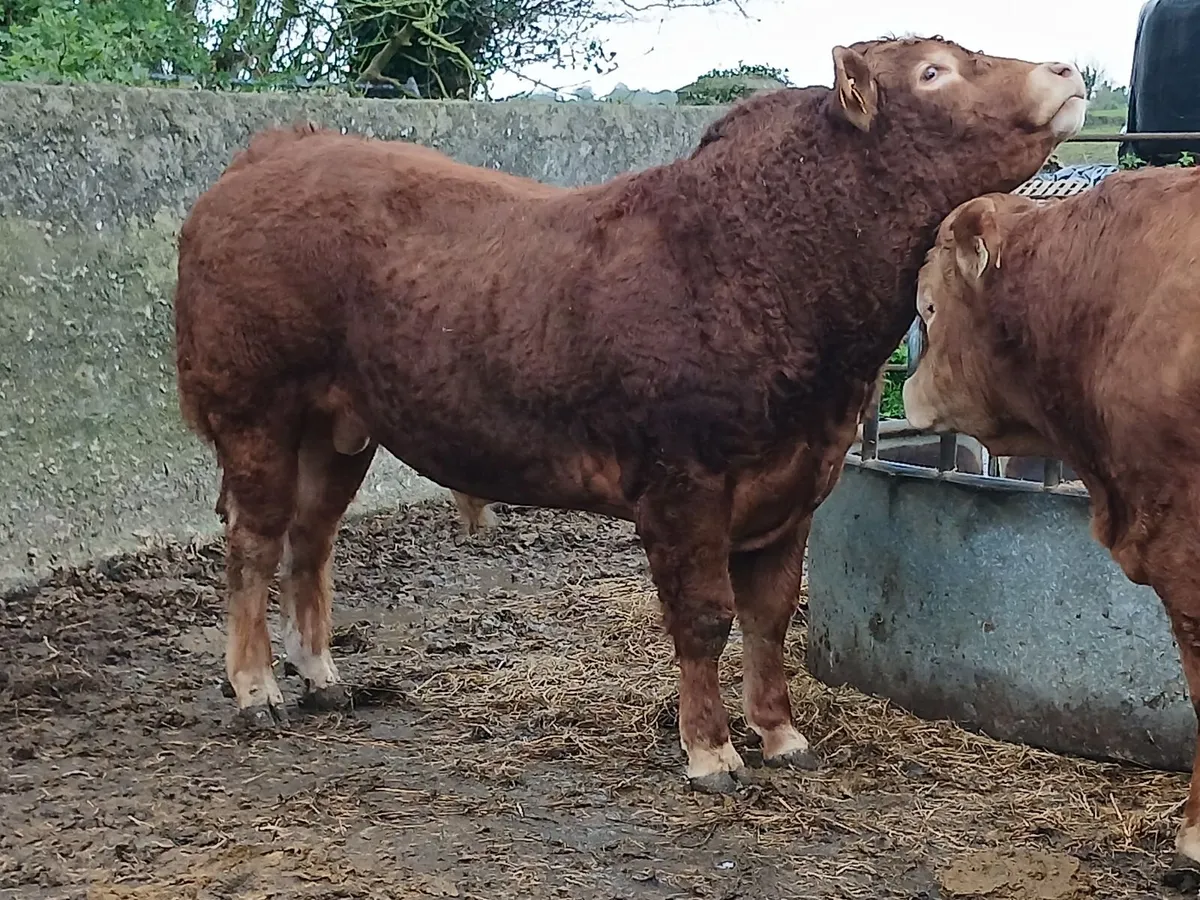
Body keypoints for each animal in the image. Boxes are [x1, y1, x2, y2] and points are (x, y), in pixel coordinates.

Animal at [174, 36, 1086, 792]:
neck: (763, 261)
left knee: (311, 539)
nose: (1068, 68)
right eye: (933, 71)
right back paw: (257, 689)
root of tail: (277, 149)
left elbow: (771, 614)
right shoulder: (684, 482)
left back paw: (322, 677)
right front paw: (711, 754)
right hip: (254, 407)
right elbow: (705, 616)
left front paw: (781, 735)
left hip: (338, 428)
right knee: (253, 542)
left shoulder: (794, 485)